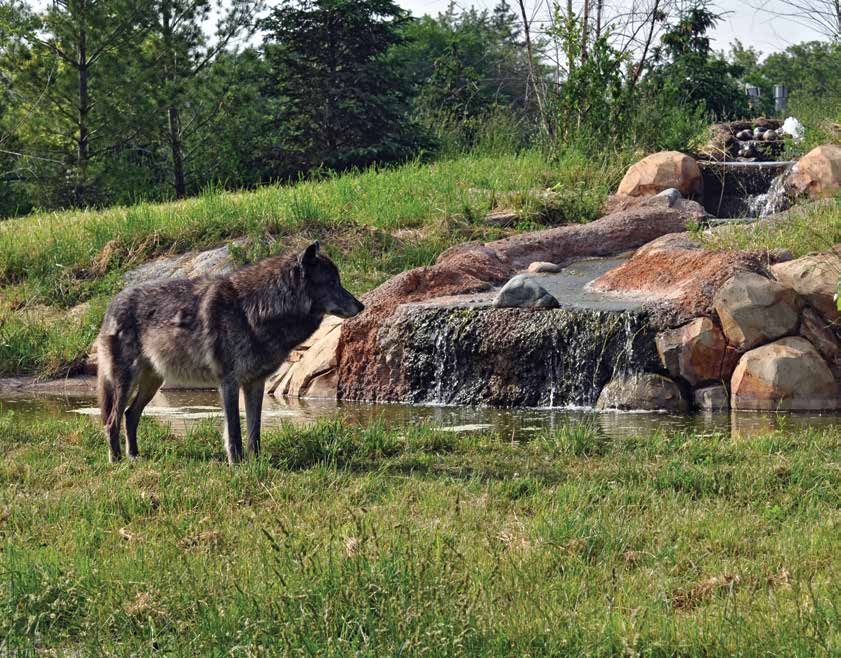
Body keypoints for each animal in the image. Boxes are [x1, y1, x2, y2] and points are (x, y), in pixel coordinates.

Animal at [96, 241, 363, 464]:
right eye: (332, 283)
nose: (361, 306)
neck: (255, 308)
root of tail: (111, 304)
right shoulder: (229, 383)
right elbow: (234, 428)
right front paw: (236, 463)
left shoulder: (255, 383)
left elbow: (254, 429)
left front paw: (256, 462)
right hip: (126, 383)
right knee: (112, 421)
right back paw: (116, 461)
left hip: (151, 383)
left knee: (130, 416)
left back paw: (134, 457)